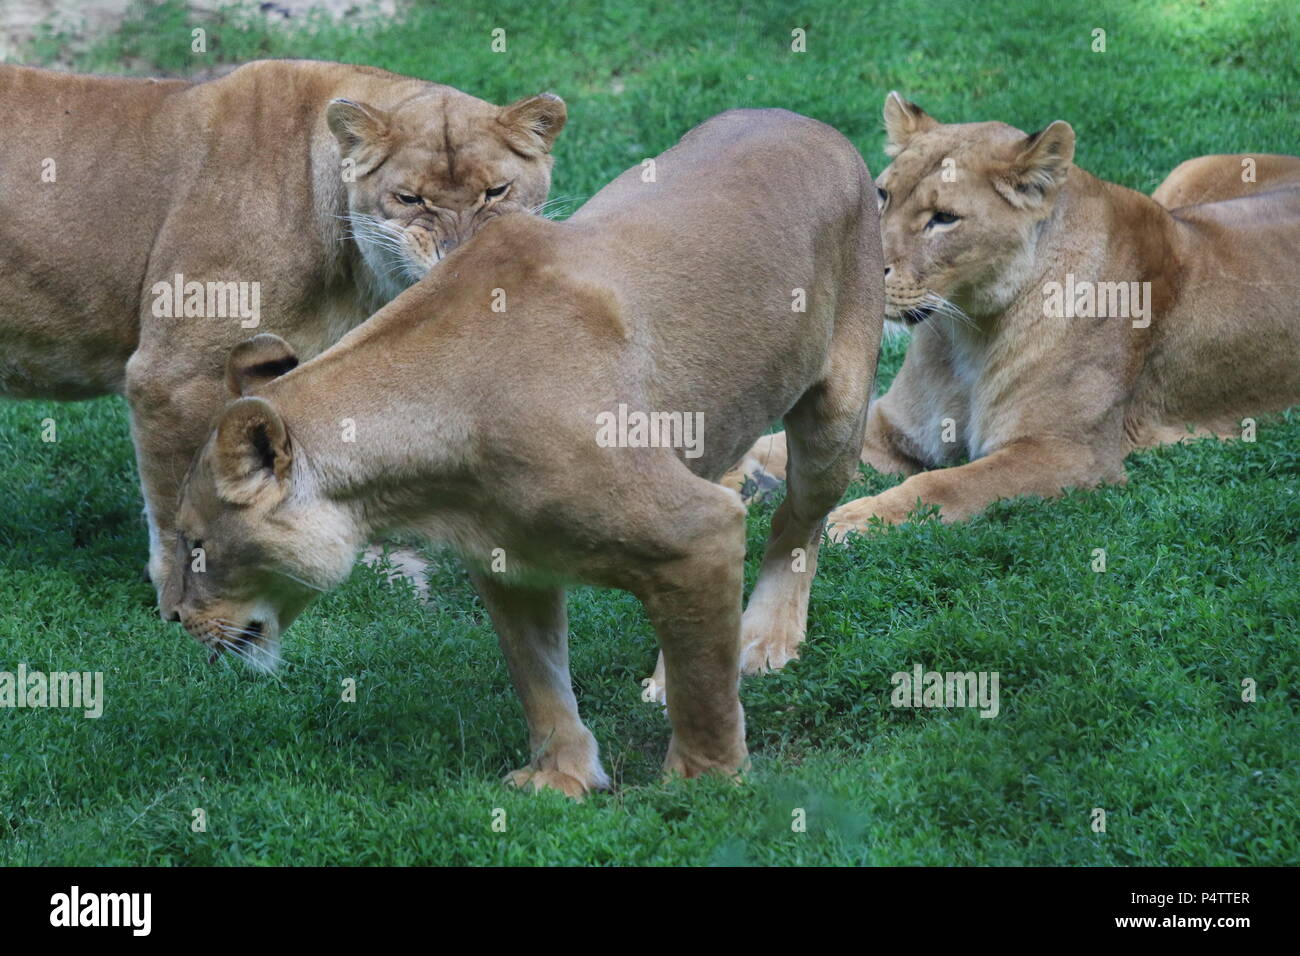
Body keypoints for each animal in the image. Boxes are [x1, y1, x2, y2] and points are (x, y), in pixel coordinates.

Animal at [162, 109, 884, 797]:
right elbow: (538, 679)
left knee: (796, 522)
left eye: (197, 545)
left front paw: (704, 784)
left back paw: (763, 638)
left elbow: (703, 694)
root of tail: (813, 124)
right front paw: (561, 777)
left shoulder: (698, 528)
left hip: (835, 416)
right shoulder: (510, 562)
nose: (173, 619)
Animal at [727, 92, 1300, 543]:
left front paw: (853, 520)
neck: (967, 329)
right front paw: (740, 476)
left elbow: (945, 483)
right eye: (883, 193)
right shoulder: (898, 428)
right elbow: (773, 446)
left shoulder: (1067, 453)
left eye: (944, 218)